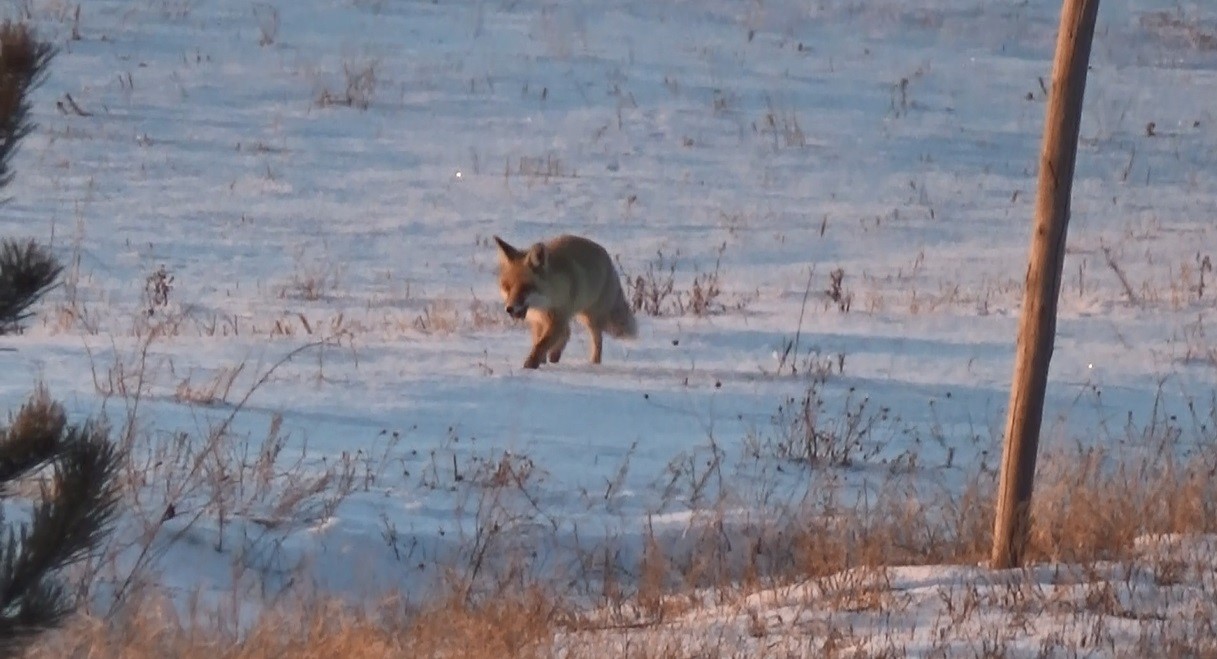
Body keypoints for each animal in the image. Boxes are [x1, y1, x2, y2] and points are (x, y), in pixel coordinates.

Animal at [489, 232, 637, 367]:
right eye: (507, 287)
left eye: (526, 288)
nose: (509, 308)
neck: (544, 302)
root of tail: (605, 255)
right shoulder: (538, 320)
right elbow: (538, 341)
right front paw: (541, 363)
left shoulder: (557, 318)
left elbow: (541, 344)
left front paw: (530, 366)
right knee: (568, 333)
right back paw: (555, 356)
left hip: (590, 318)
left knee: (596, 340)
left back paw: (594, 364)